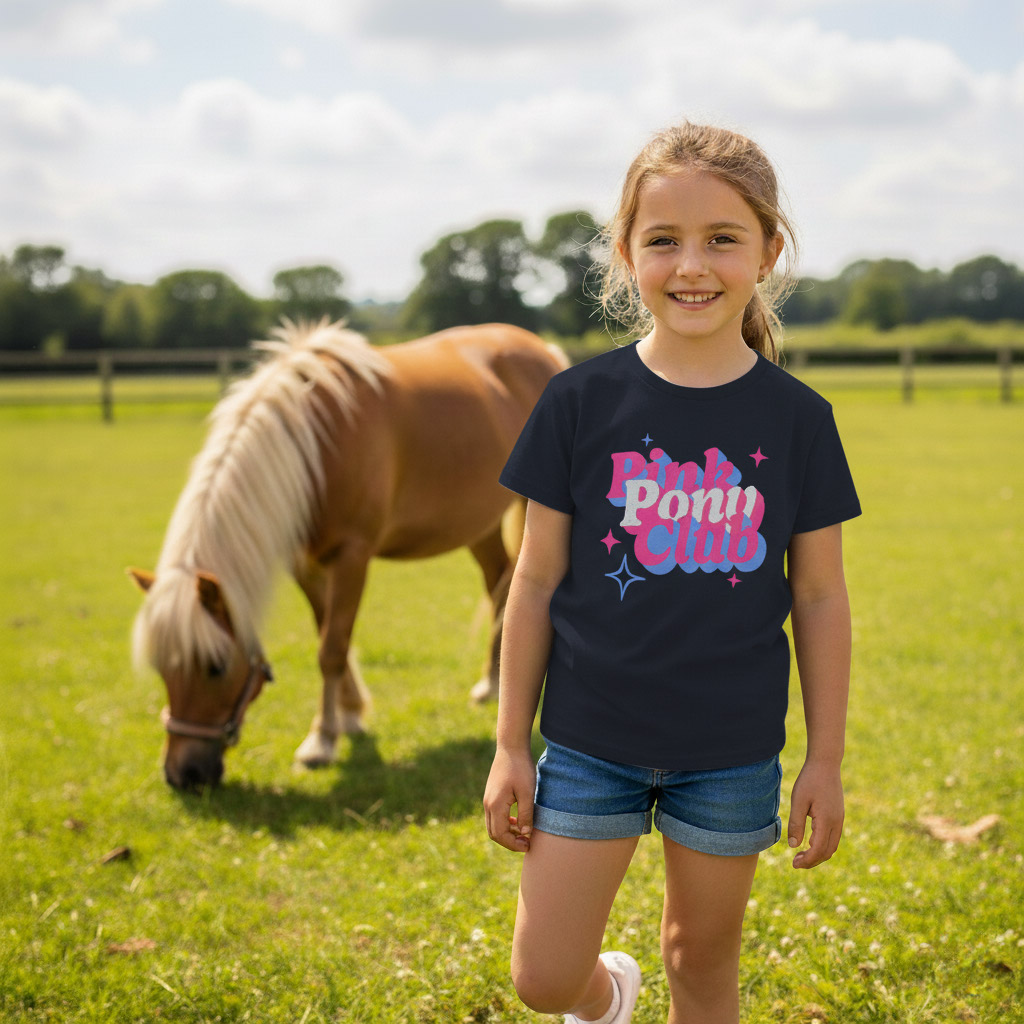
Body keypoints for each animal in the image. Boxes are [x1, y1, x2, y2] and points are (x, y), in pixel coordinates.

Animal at [129, 319, 567, 791]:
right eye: (161, 668)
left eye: (214, 667)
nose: (183, 775)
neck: (314, 444)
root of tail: (542, 349)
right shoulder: (305, 564)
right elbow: (328, 633)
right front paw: (350, 716)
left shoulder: (352, 557)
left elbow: (332, 648)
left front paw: (321, 741)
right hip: (476, 524)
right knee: (500, 585)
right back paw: (491, 685)